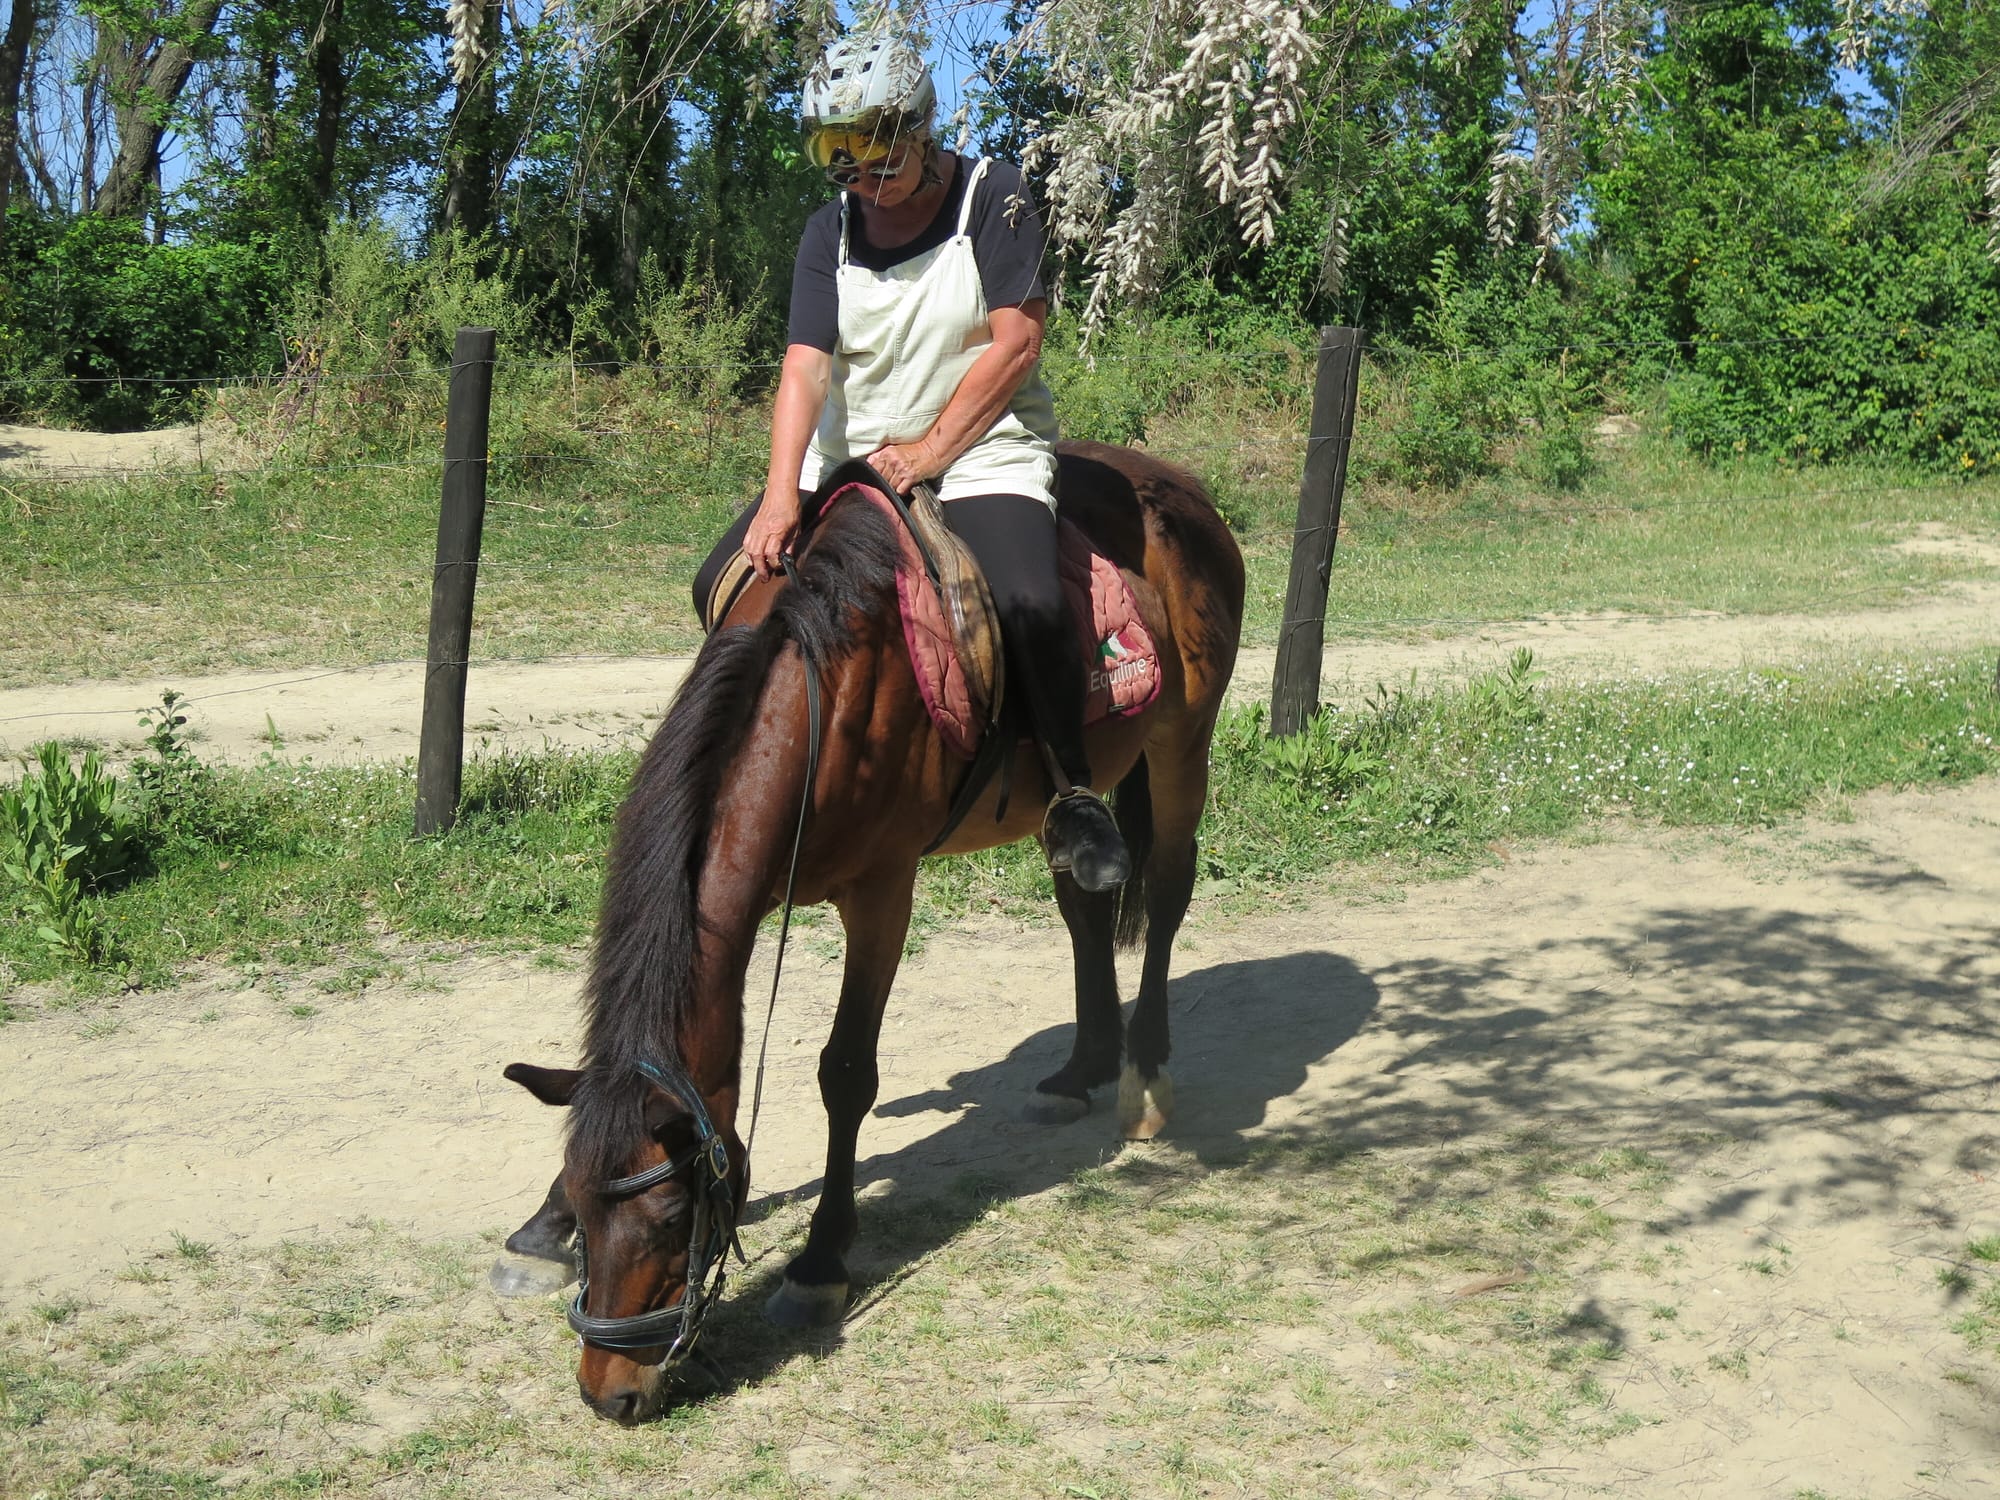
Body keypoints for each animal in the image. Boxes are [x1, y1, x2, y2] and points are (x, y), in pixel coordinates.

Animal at [500, 444, 1240, 1424]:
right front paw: (540, 1224)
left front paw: (819, 1263)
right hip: (1065, 803)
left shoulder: (883, 892)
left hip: (1181, 744)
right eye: (588, 1212)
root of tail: (1180, 486)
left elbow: (845, 1072)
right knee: (1084, 903)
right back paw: (1079, 1068)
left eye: (672, 1219)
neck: (824, 689)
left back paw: (1143, 1072)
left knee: (1165, 891)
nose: (607, 1393)